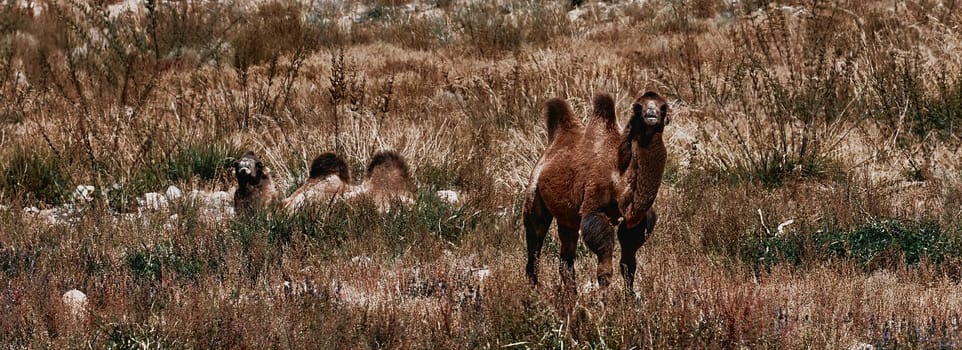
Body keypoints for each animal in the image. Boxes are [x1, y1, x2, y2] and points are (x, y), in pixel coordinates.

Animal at [524, 91, 668, 294]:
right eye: (639, 107)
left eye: (664, 107)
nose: (651, 113)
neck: (619, 177)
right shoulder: (594, 210)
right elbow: (605, 265)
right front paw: (604, 299)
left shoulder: (636, 221)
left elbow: (629, 264)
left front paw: (630, 297)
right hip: (534, 193)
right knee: (535, 241)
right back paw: (534, 292)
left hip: (567, 218)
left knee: (566, 259)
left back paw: (572, 296)